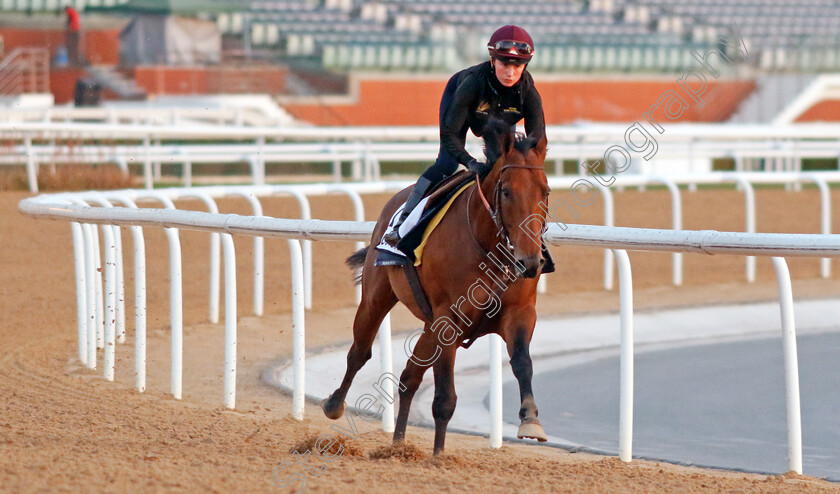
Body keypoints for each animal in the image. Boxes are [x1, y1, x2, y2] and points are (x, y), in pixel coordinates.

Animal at [322, 119, 552, 456]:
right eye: (507, 191)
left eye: (545, 191)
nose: (530, 260)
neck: (488, 245)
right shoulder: (448, 318)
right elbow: (444, 395)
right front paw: (439, 455)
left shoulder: (519, 312)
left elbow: (523, 362)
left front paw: (531, 420)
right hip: (377, 297)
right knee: (360, 352)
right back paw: (335, 404)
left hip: (429, 325)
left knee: (409, 375)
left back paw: (399, 443)